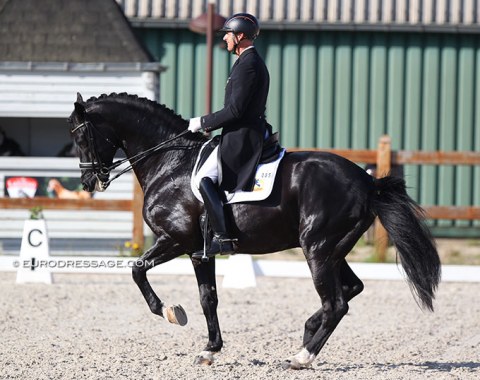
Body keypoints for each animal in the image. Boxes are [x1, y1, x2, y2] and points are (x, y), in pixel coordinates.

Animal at [68, 93, 442, 370]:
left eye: (80, 135)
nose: (88, 181)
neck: (170, 164)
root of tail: (367, 182)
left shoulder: (176, 241)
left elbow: (138, 271)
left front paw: (171, 312)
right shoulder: (199, 251)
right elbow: (208, 298)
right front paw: (209, 349)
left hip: (318, 248)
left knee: (336, 303)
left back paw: (302, 357)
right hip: (332, 248)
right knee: (351, 289)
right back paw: (307, 333)